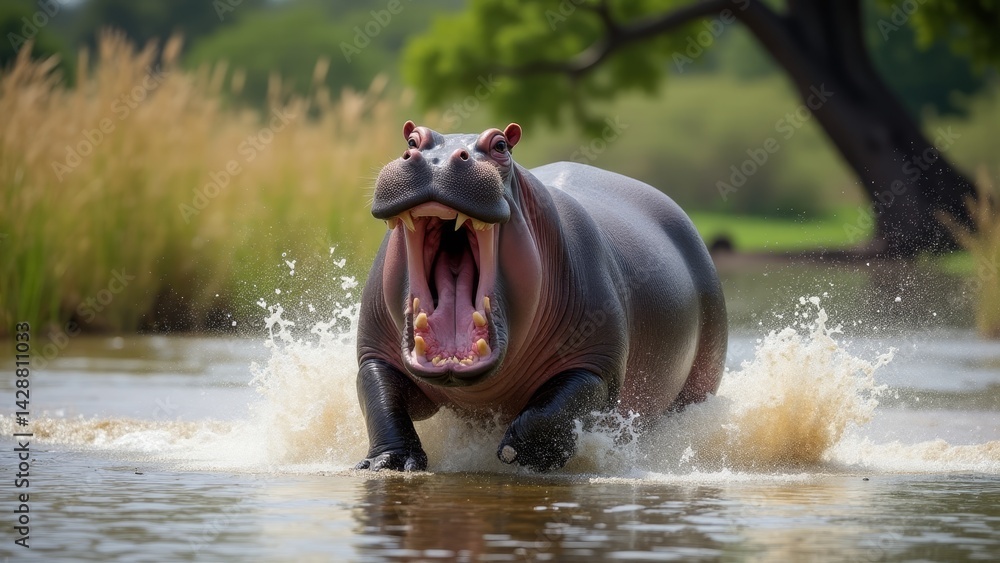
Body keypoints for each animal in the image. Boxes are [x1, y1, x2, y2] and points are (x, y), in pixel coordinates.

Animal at [354, 121, 727, 472]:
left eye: (501, 145)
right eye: (412, 140)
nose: (437, 161)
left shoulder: (596, 363)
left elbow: (562, 406)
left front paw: (519, 453)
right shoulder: (374, 353)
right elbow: (379, 398)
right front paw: (388, 462)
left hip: (702, 374)